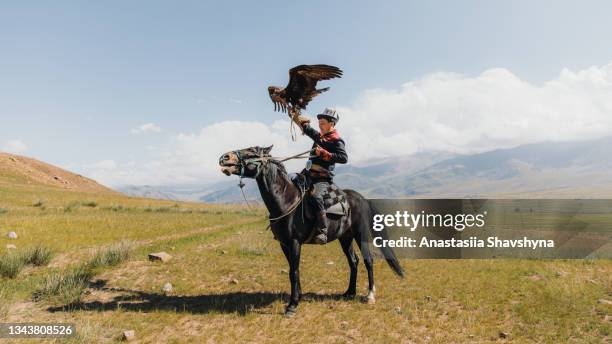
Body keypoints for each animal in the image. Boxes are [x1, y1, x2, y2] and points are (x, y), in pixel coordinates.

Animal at [218, 145, 404, 318]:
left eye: (251, 152)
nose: (224, 157)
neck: (286, 201)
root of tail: (362, 198)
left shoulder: (294, 242)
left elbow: (293, 271)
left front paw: (292, 305)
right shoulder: (284, 244)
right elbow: (293, 269)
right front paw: (298, 296)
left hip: (360, 234)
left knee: (368, 261)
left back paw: (370, 295)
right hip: (345, 237)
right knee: (353, 261)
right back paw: (349, 292)